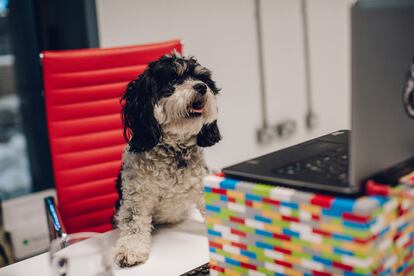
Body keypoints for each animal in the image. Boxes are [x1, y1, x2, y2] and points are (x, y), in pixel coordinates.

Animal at [111, 52, 222, 268]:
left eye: (202, 79)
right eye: (172, 81)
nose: (201, 87)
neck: (173, 150)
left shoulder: (200, 184)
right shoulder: (136, 195)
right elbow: (133, 223)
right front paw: (130, 250)